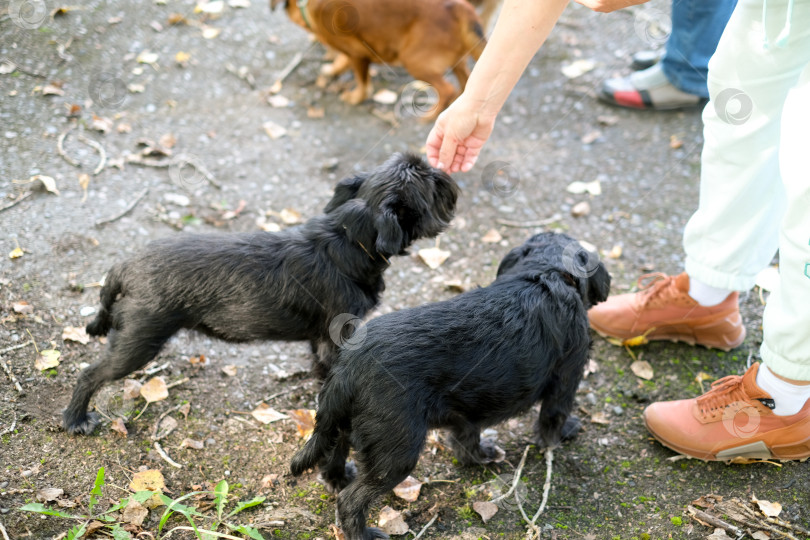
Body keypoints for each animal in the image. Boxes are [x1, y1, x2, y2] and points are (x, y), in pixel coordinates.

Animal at [62, 152, 454, 434]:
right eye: (430, 182)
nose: (442, 168)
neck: (347, 237)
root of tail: (125, 266)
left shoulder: (321, 339)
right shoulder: (339, 334)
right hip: (138, 342)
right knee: (90, 374)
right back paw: (75, 419)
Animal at [272, 0, 486, 118]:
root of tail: (458, 7)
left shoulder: (357, 53)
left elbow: (363, 84)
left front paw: (355, 97)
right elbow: (342, 61)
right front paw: (333, 69)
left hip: (413, 61)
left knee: (446, 89)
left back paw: (429, 116)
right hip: (458, 62)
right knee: (465, 83)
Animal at [290, 232, 608, 540]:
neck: (544, 272)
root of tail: (348, 366)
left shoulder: (467, 412)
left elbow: (466, 441)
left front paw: (481, 456)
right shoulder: (567, 377)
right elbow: (553, 418)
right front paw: (562, 435)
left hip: (344, 425)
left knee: (332, 453)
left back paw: (338, 478)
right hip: (396, 452)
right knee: (351, 500)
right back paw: (365, 534)